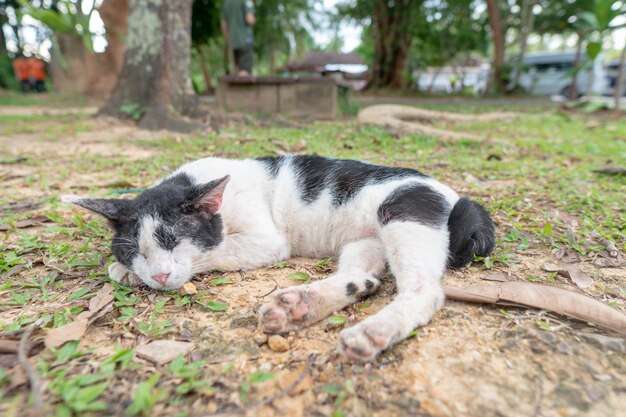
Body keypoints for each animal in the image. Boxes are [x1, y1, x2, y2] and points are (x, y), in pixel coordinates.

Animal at [62, 154, 492, 360]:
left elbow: (214, 252)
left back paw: (373, 333)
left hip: (402, 210)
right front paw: (127, 271)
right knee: (366, 280)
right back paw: (298, 305)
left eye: (174, 240)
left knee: (425, 291)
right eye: (135, 249)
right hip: (364, 240)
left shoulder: (267, 241)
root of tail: (454, 195)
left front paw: (145, 274)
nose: (160, 276)